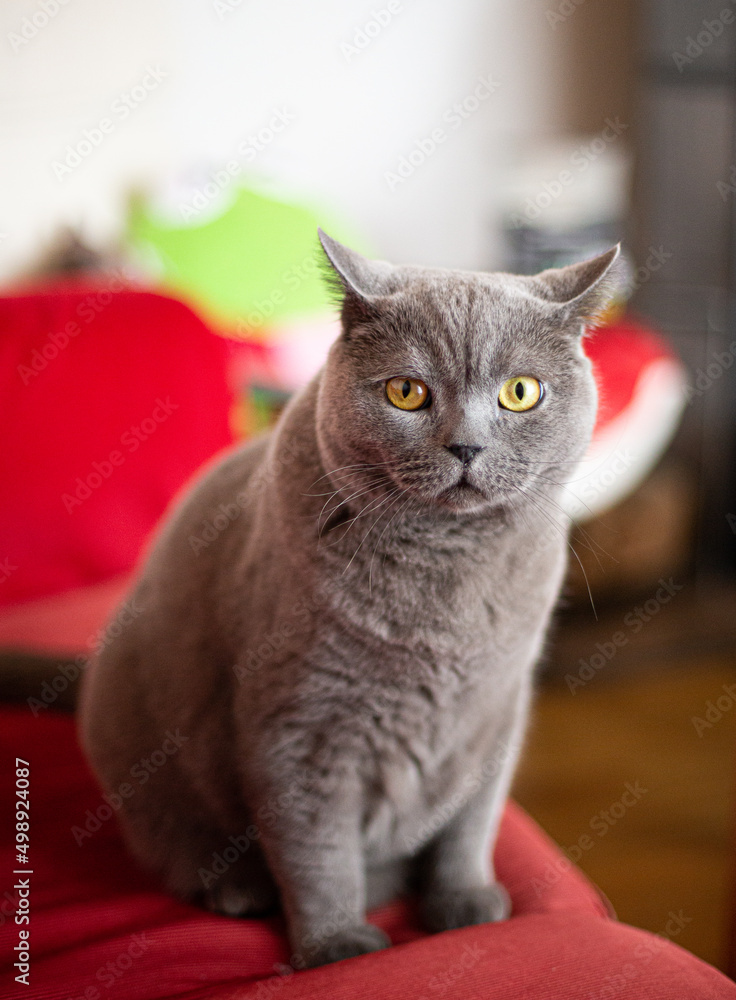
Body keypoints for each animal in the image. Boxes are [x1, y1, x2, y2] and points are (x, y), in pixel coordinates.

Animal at [79, 230, 620, 964]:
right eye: (406, 392)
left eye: (520, 392)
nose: (466, 446)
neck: (444, 587)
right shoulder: (299, 725)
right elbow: (317, 849)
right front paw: (336, 946)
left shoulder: (498, 714)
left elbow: (469, 825)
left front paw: (466, 905)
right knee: (176, 841)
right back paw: (238, 890)